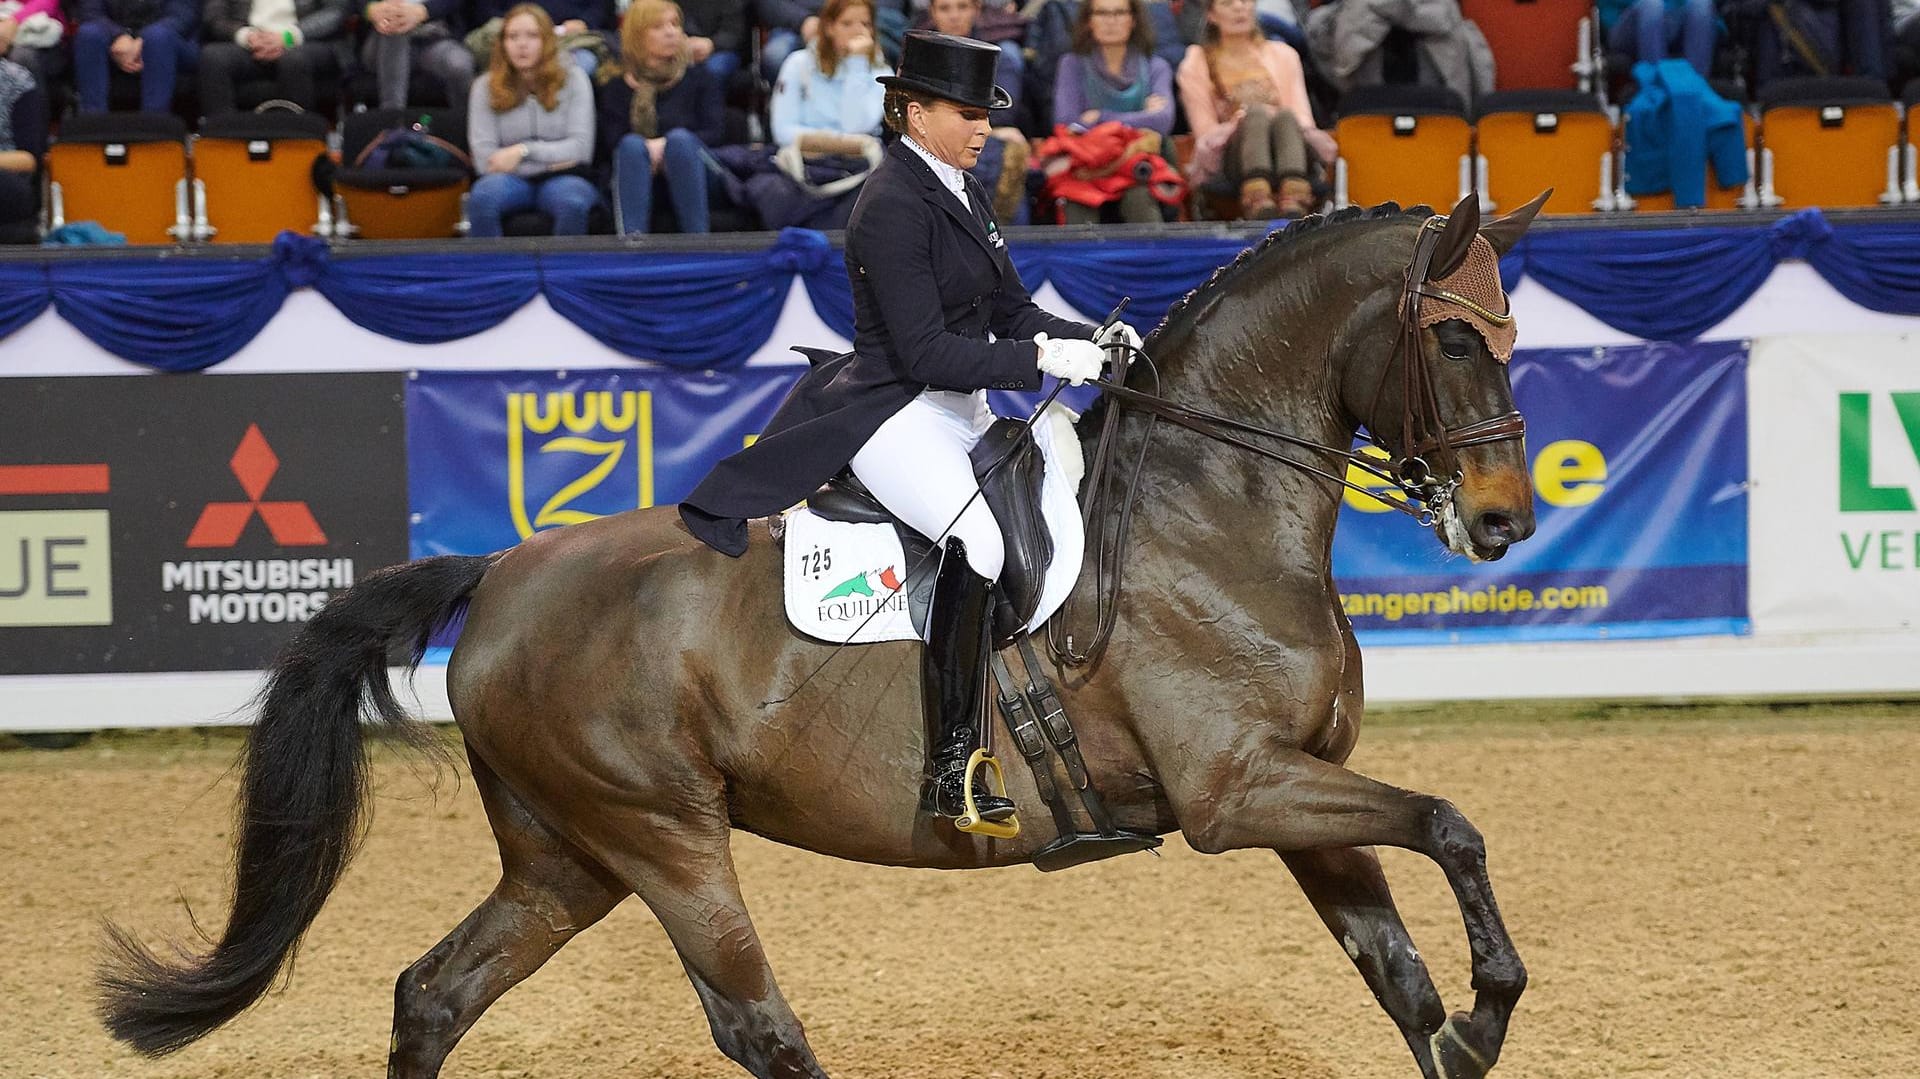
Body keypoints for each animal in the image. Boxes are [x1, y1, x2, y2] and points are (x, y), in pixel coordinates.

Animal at [101, 192, 1543, 1075]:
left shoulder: (1296, 788)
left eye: (1515, 335)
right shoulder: (1238, 790)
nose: (1503, 519)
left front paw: (1463, 1020)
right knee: (758, 1025)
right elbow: (1455, 823)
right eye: (1455, 339)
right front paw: (1494, 999)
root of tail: (502, 571)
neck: (1210, 505)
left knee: (434, 992)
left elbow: (1402, 973)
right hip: (662, 834)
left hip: (567, 857)